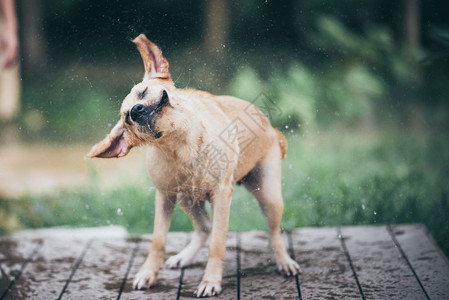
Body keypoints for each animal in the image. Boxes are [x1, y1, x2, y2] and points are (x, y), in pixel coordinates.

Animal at [86, 34, 300, 296]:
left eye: (142, 93)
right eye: (127, 119)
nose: (136, 111)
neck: (181, 146)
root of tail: (272, 129)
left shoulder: (221, 194)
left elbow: (218, 244)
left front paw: (210, 281)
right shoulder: (164, 196)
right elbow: (158, 240)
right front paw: (148, 273)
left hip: (269, 195)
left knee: (274, 233)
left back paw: (284, 261)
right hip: (186, 198)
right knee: (205, 227)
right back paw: (183, 257)